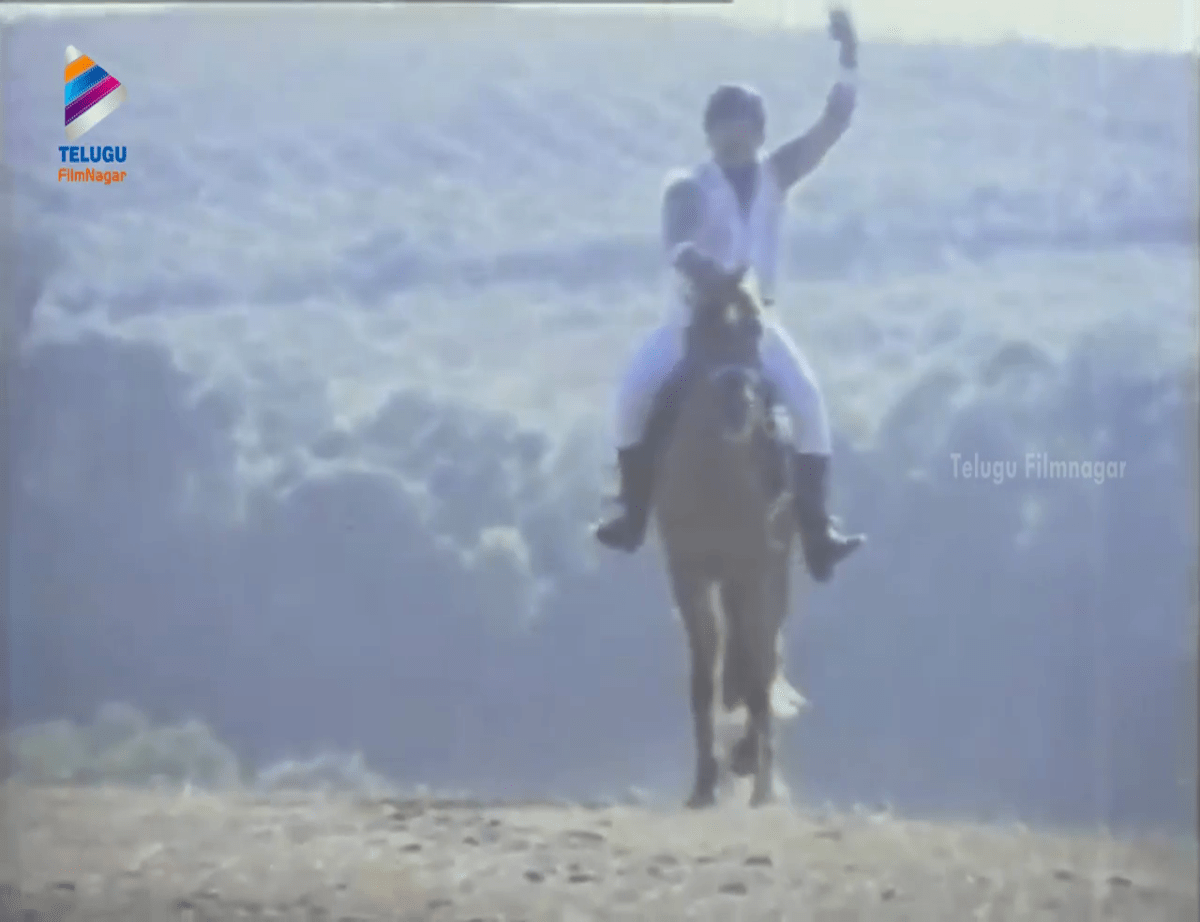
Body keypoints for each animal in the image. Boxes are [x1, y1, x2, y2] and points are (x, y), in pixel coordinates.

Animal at [650, 268, 806, 808]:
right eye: (701, 329)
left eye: (756, 329)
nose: (739, 412)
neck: (718, 475)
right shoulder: (690, 573)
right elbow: (706, 671)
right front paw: (703, 784)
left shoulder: (755, 570)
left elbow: (758, 665)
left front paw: (760, 785)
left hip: (770, 575)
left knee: (763, 656)